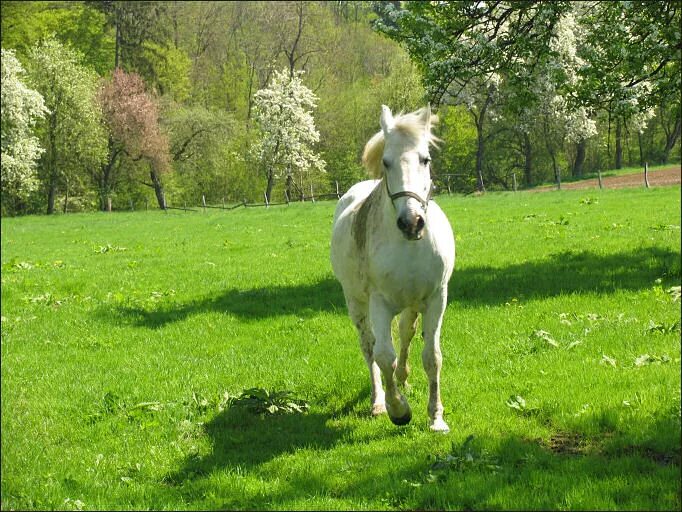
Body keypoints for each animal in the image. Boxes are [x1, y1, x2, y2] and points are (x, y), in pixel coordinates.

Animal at [328, 104, 452, 432]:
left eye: (425, 159)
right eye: (386, 162)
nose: (411, 222)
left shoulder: (436, 298)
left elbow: (432, 356)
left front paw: (436, 417)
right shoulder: (379, 303)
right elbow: (384, 356)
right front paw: (399, 411)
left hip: (411, 304)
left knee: (407, 334)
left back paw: (404, 380)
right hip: (357, 304)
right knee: (369, 347)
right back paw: (378, 401)